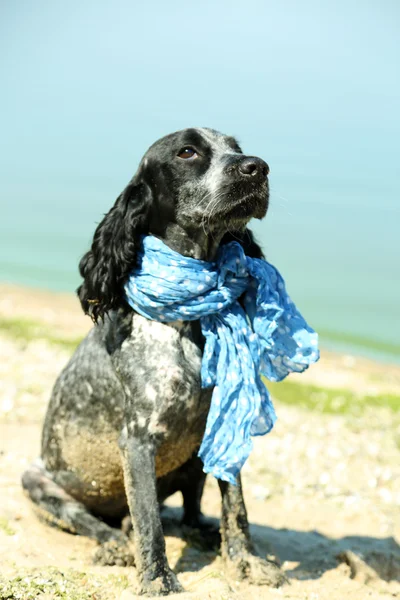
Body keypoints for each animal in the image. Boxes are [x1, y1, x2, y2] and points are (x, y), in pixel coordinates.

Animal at [21, 127, 286, 596]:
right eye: (187, 151)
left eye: (235, 148)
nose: (256, 167)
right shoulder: (138, 441)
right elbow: (148, 523)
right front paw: (158, 577)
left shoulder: (224, 421)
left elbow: (236, 507)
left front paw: (246, 563)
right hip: (38, 481)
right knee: (102, 522)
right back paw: (115, 543)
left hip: (195, 460)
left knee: (188, 509)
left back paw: (200, 530)